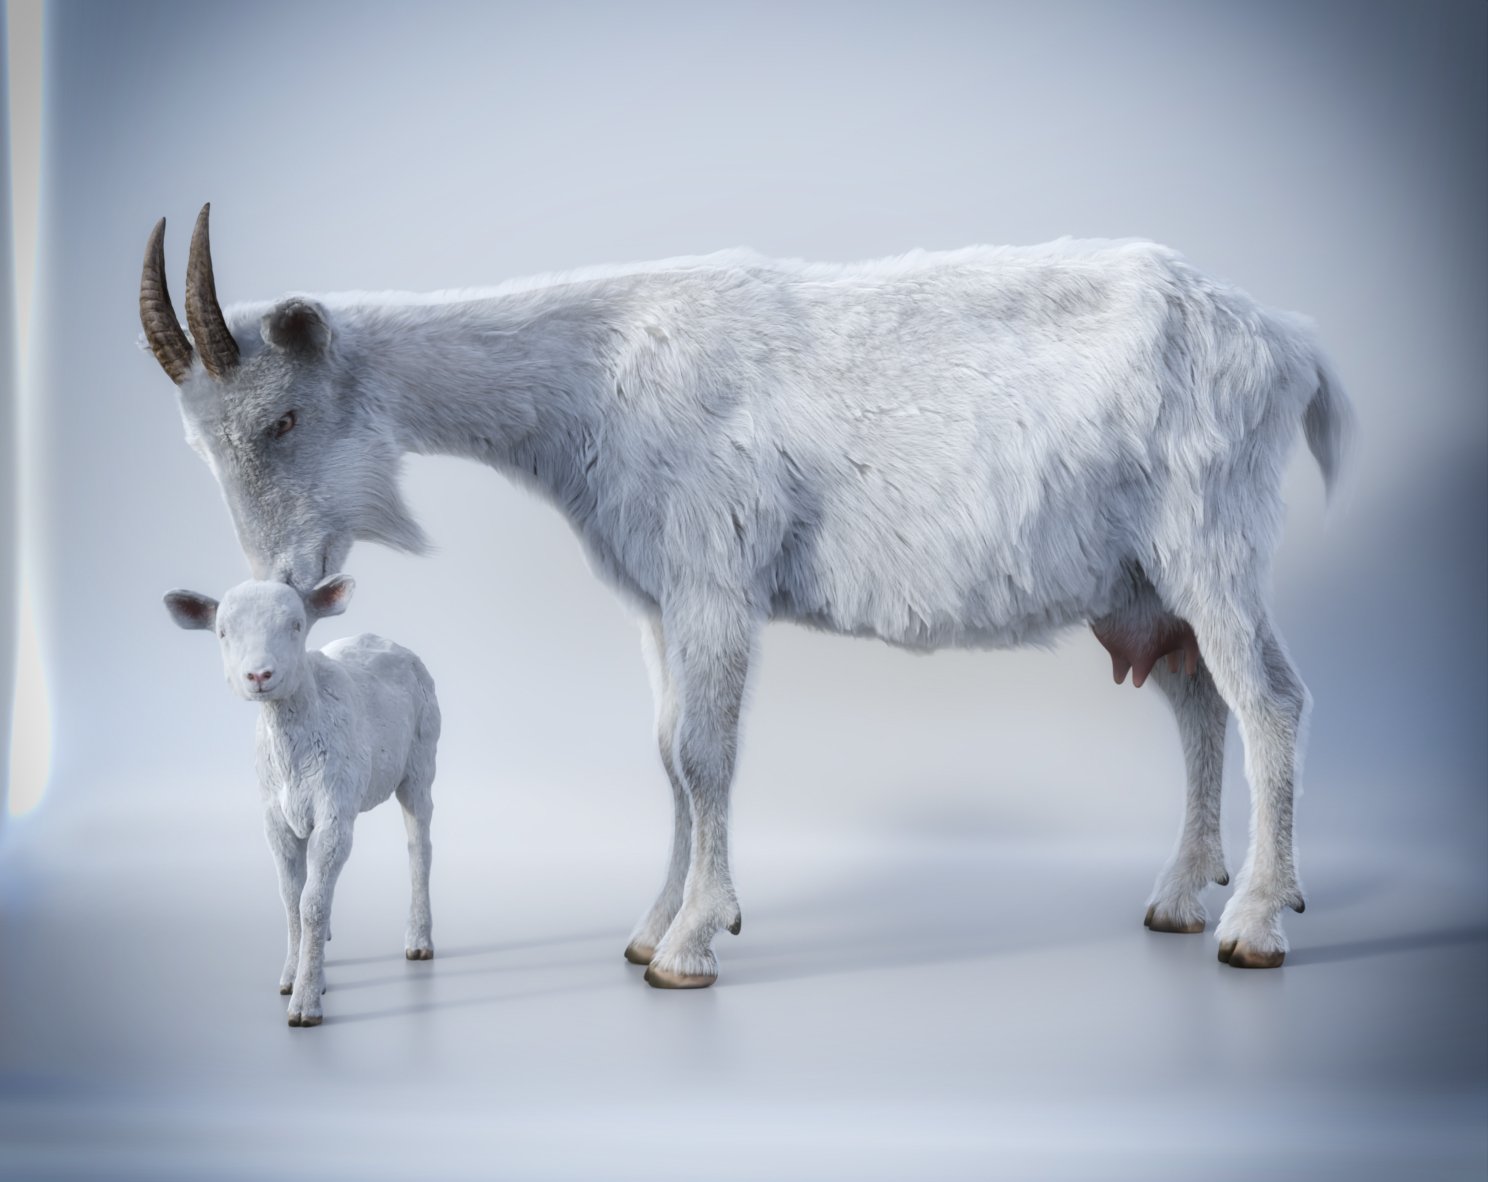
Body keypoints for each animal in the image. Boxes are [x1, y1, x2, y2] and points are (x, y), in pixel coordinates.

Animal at [164, 575, 441, 1025]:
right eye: (223, 632)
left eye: (295, 624)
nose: (259, 674)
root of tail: (385, 640)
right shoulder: (274, 818)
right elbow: (292, 898)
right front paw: (294, 976)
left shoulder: (335, 811)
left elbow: (311, 902)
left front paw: (305, 1002)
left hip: (421, 761)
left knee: (420, 845)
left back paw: (418, 939)